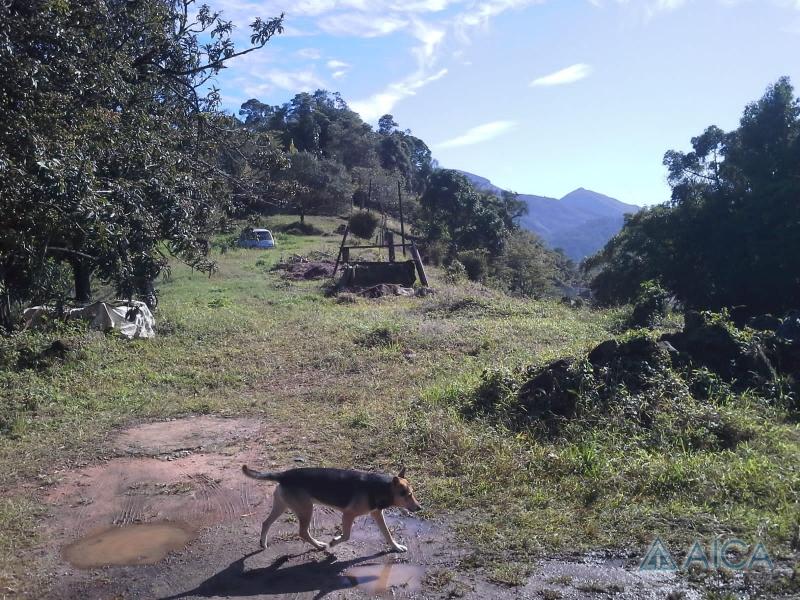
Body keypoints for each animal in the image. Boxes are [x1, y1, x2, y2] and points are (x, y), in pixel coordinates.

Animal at [241, 464, 422, 552]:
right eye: (408, 494)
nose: (419, 508)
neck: (380, 487)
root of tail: (284, 474)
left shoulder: (377, 514)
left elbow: (387, 534)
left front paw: (396, 547)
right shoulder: (348, 515)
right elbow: (346, 536)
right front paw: (334, 542)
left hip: (282, 505)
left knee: (266, 523)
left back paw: (263, 543)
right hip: (306, 509)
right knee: (303, 532)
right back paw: (319, 545)